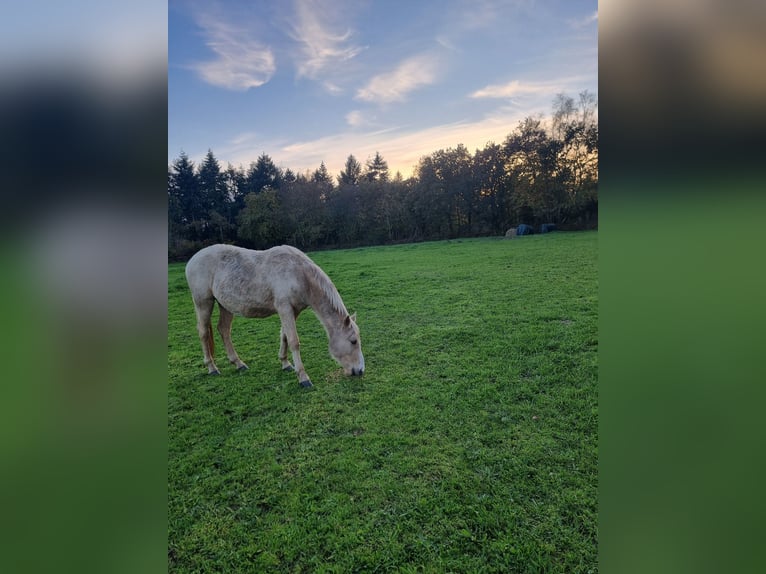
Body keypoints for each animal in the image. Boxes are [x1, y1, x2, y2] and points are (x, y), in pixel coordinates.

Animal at [186, 245, 366, 390]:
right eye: (353, 341)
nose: (360, 371)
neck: (299, 274)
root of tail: (192, 260)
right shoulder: (284, 308)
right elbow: (294, 341)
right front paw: (303, 378)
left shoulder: (294, 310)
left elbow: (284, 336)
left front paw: (285, 364)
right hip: (203, 302)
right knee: (203, 332)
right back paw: (212, 367)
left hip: (225, 305)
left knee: (224, 330)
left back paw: (238, 363)